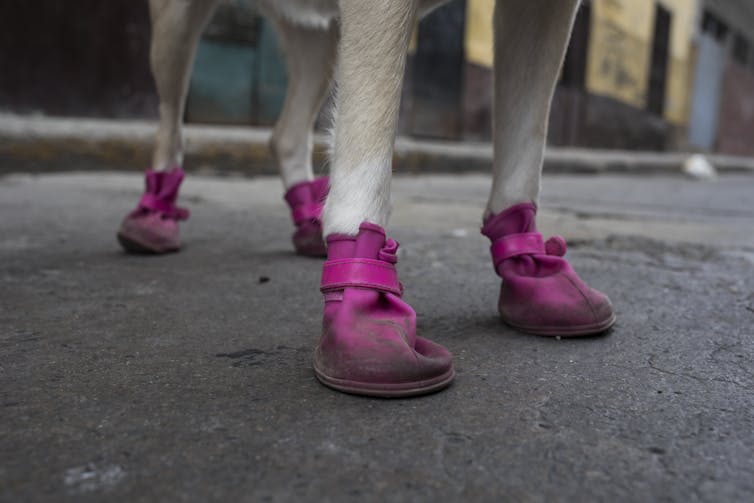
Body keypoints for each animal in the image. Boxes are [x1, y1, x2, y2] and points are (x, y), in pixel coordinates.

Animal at [117, 0, 612, 398]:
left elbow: (525, 143)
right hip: (177, 25)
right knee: (169, 123)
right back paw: (152, 217)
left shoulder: (545, 9)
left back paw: (308, 223)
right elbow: (367, 140)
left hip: (318, 38)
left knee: (286, 134)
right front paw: (365, 301)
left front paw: (533, 268)